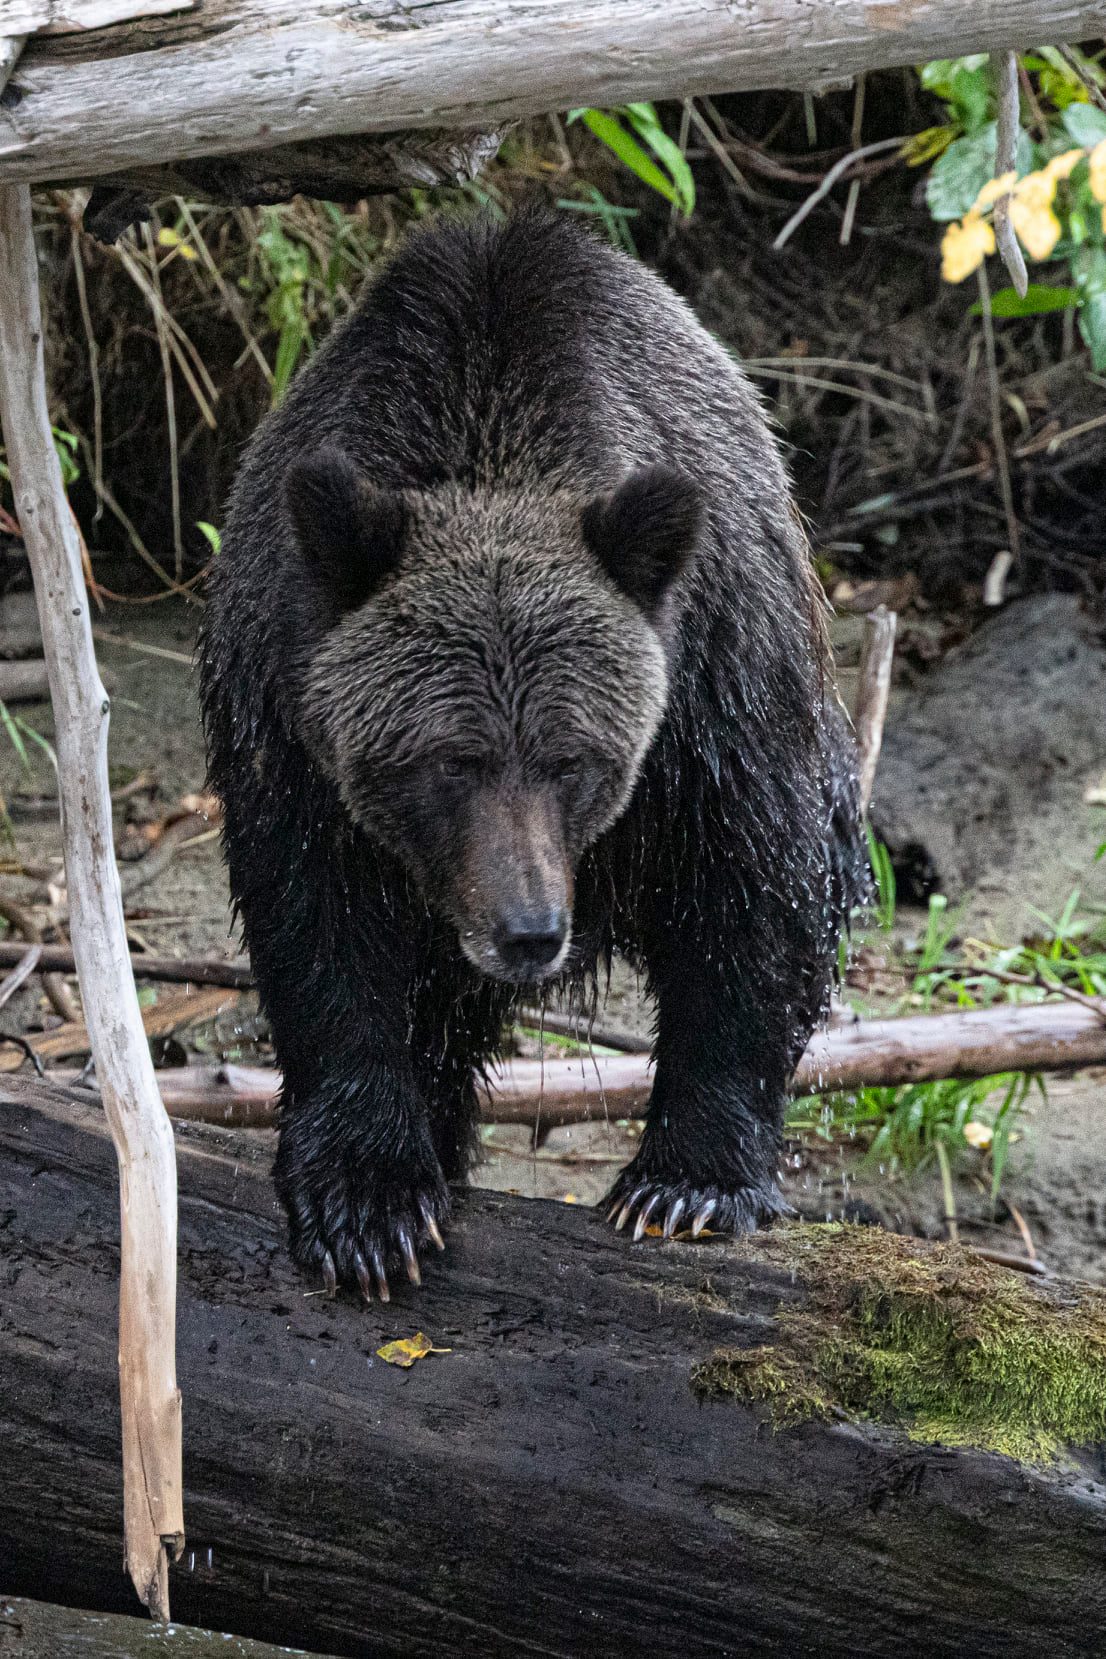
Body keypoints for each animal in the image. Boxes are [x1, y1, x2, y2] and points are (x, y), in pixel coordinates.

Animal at [199, 206, 866, 1301]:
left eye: (572, 759)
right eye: (445, 761)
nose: (528, 930)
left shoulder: (714, 687)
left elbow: (750, 893)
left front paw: (685, 1183)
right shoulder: (286, 711)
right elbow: (323, 929)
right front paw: (367, 1203)